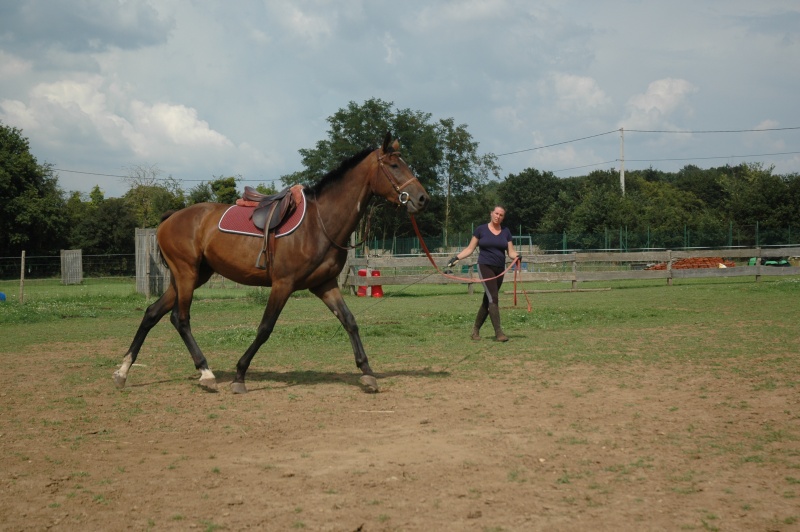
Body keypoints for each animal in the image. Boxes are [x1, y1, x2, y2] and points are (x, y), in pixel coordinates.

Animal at [112, 136, 432, 394]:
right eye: (394, 166)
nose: (422, 198)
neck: (320, 223)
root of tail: (170, 218)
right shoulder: (283, 284)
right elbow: (265, 328)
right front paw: (240, 375)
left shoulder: (324, 285)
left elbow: (350, 321)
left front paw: (367, 372)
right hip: (187, 274)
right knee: (180, 319)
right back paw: (206, 373)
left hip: (190, 277)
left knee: (152, 313)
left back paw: (123, 371)